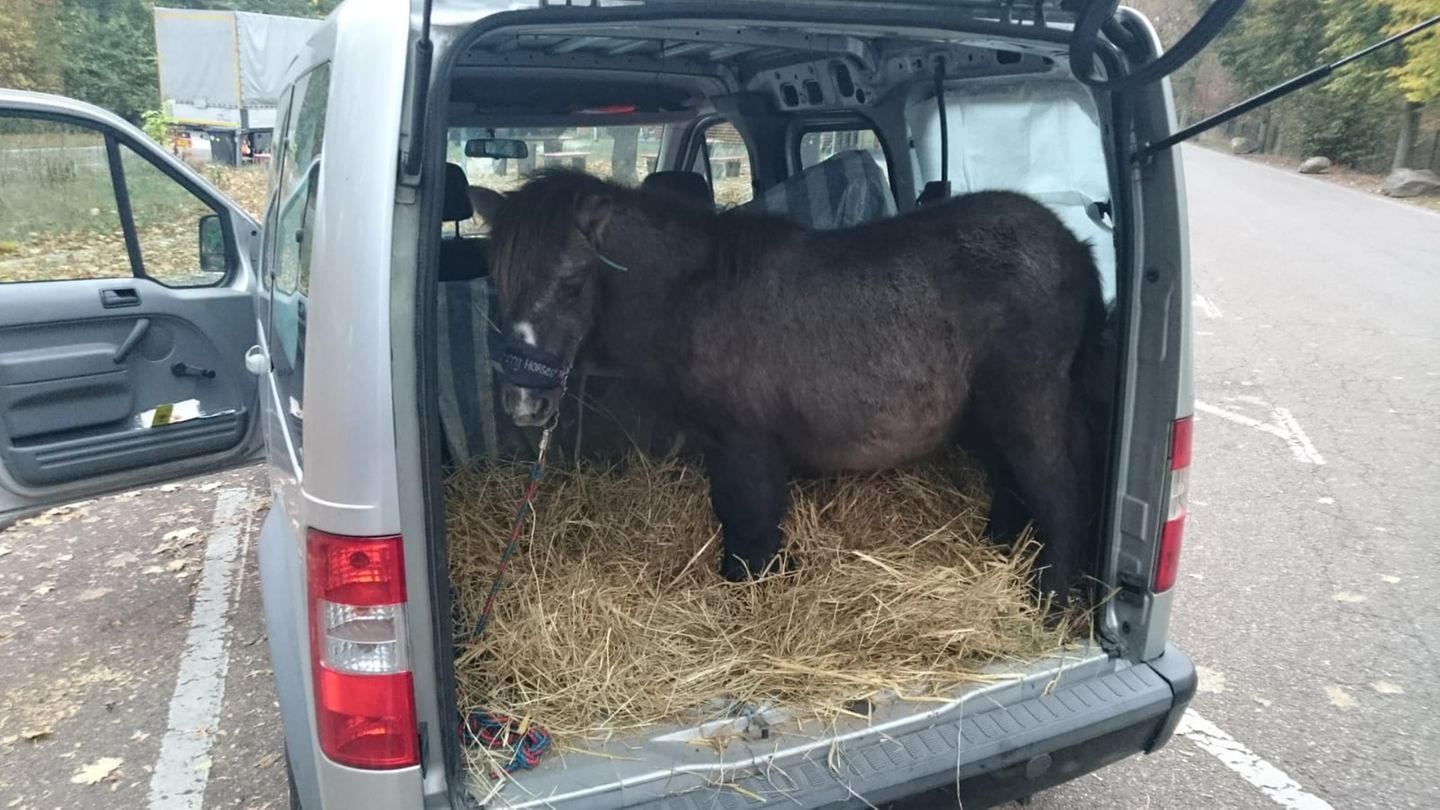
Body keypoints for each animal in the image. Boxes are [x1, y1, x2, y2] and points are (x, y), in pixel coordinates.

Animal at [469, 169, 1104, 598]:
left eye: (574, 283)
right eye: (496, 281)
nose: (525, 402)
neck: (695, 292)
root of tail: (1072, 246)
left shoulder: (746, 442)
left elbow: (750, 519)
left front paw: (749, 588)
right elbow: (733, 515)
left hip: (1024, 404)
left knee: (1057, 491)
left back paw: (1047, 596)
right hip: (985, 414)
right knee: (1010, 483)